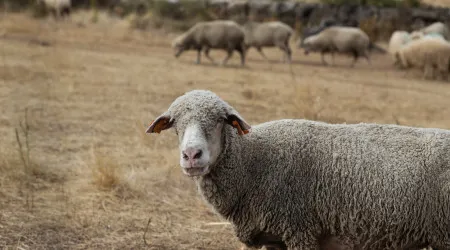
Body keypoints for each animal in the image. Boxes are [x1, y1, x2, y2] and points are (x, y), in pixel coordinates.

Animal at [146, 89, 448, 250]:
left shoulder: (300, 230)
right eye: (175, 124)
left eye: (221, 120)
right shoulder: (275, 238)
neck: (253, 161)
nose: (191, 155)